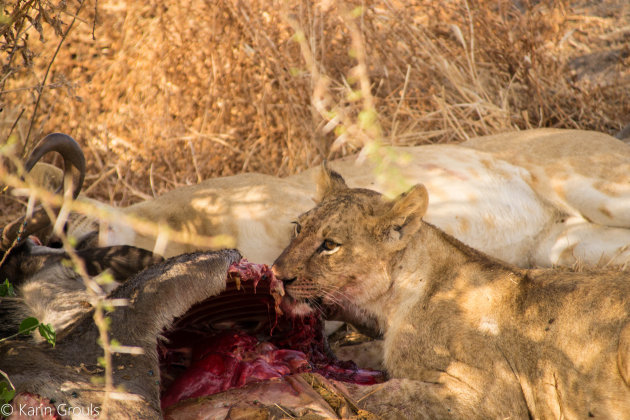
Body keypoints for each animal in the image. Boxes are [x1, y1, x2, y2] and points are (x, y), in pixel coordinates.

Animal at [274, 166, 630, 418]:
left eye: (330, 245)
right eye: (298, 227)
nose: (277, 275)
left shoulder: (494, 396)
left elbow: (392, 393)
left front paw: (318, 386)